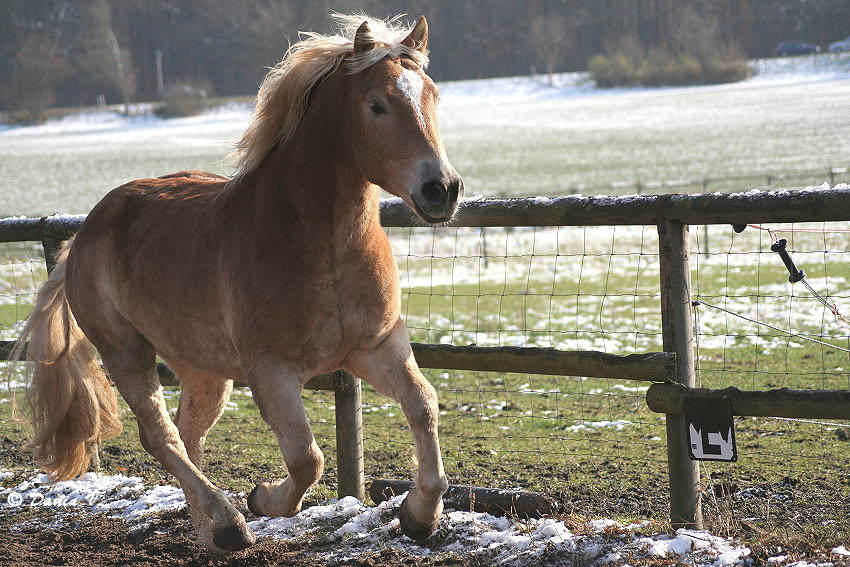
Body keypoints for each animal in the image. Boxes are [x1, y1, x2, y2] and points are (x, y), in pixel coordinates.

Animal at [13, 15, 460, 552]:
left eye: (433, 96)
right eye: (377, 104)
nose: (442, 189)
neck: (323, 245)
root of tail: (85, 233)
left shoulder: (376, 347)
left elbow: (423, 406)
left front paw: (420, 516)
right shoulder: (271, 371)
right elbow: (307, 458)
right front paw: (262, 498)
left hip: (203, 368)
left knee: (188, 434)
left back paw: (207, 527)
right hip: (125, 350)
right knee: (160, 436)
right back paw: (228, 523)